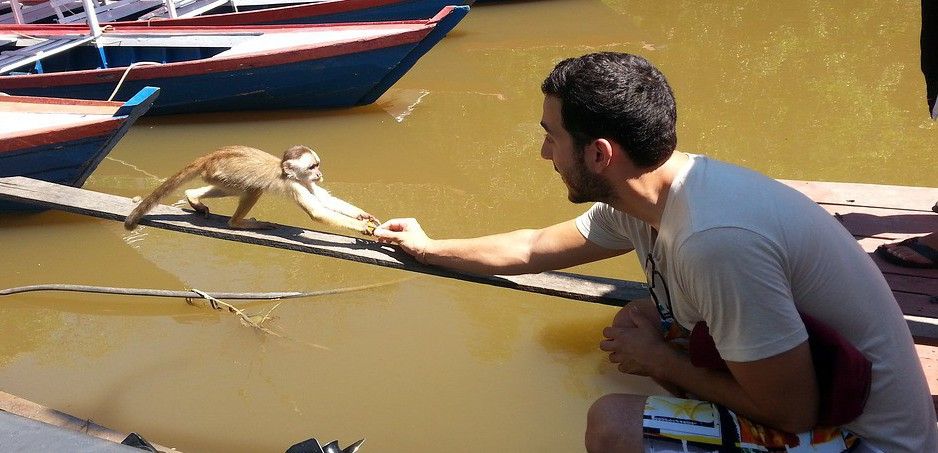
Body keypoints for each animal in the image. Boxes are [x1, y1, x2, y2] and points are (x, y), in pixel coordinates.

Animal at [124, 145, 380, 235]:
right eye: (312, 166)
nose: (319, 174)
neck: (288, 173)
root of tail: (212, 156)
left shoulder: (305, 182)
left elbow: (325, 201)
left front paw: (363, 216)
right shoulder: (294, 184)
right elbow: (317, 212)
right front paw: (362, 226)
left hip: (217, 175)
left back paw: (192, 196)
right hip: (223, 173)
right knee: (252, 189)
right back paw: (237, 223)